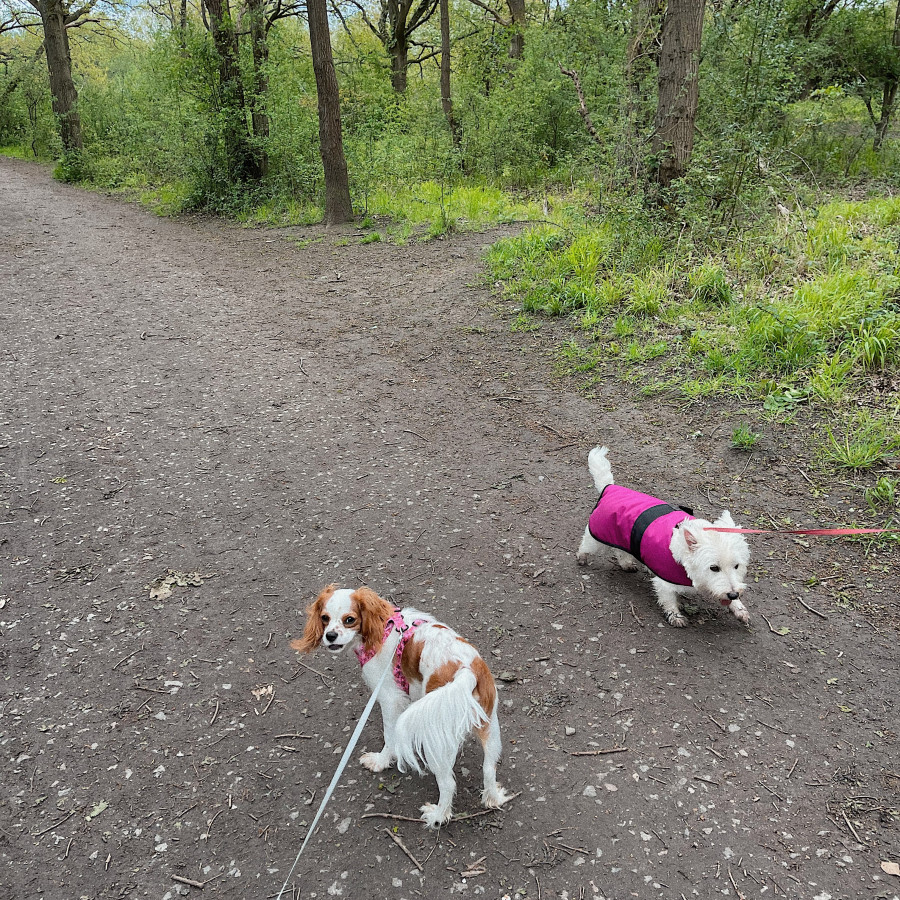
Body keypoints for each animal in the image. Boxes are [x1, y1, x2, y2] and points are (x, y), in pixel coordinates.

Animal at [292, 584, 510, 828]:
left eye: (349, 620)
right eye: (325, 618)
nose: (330, 636)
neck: (383, 628)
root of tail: (466, 671)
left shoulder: (389, 699)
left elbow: (390, 737)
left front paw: (381, 761)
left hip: (435, 740)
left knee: (448, 784)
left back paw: (437, 816)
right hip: (490, 728)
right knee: (488, 769)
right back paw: (493, 798)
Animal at [576, 442, 752, 624]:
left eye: (737, 566)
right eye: (714, 568)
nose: (733, 594)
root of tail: (609, 487)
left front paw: (739, 608)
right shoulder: (664, 583)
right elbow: (668, 599)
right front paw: (675, 616)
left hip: (622, 536)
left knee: (620, 551)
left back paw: (626, 564)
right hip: (597, 535)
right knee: (586, 545)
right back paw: (582, 558)